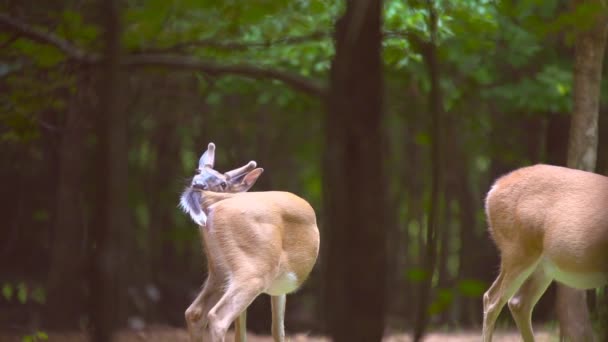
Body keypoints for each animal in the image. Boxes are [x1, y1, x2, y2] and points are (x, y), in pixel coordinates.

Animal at [178, 142, 320, 342]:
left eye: (223, 183)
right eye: (197, 171)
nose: (197, 184)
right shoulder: (278, 286)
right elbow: (277, 330)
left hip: (219, 269)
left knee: (194, 313)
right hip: (255, 268)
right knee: (218, 317)